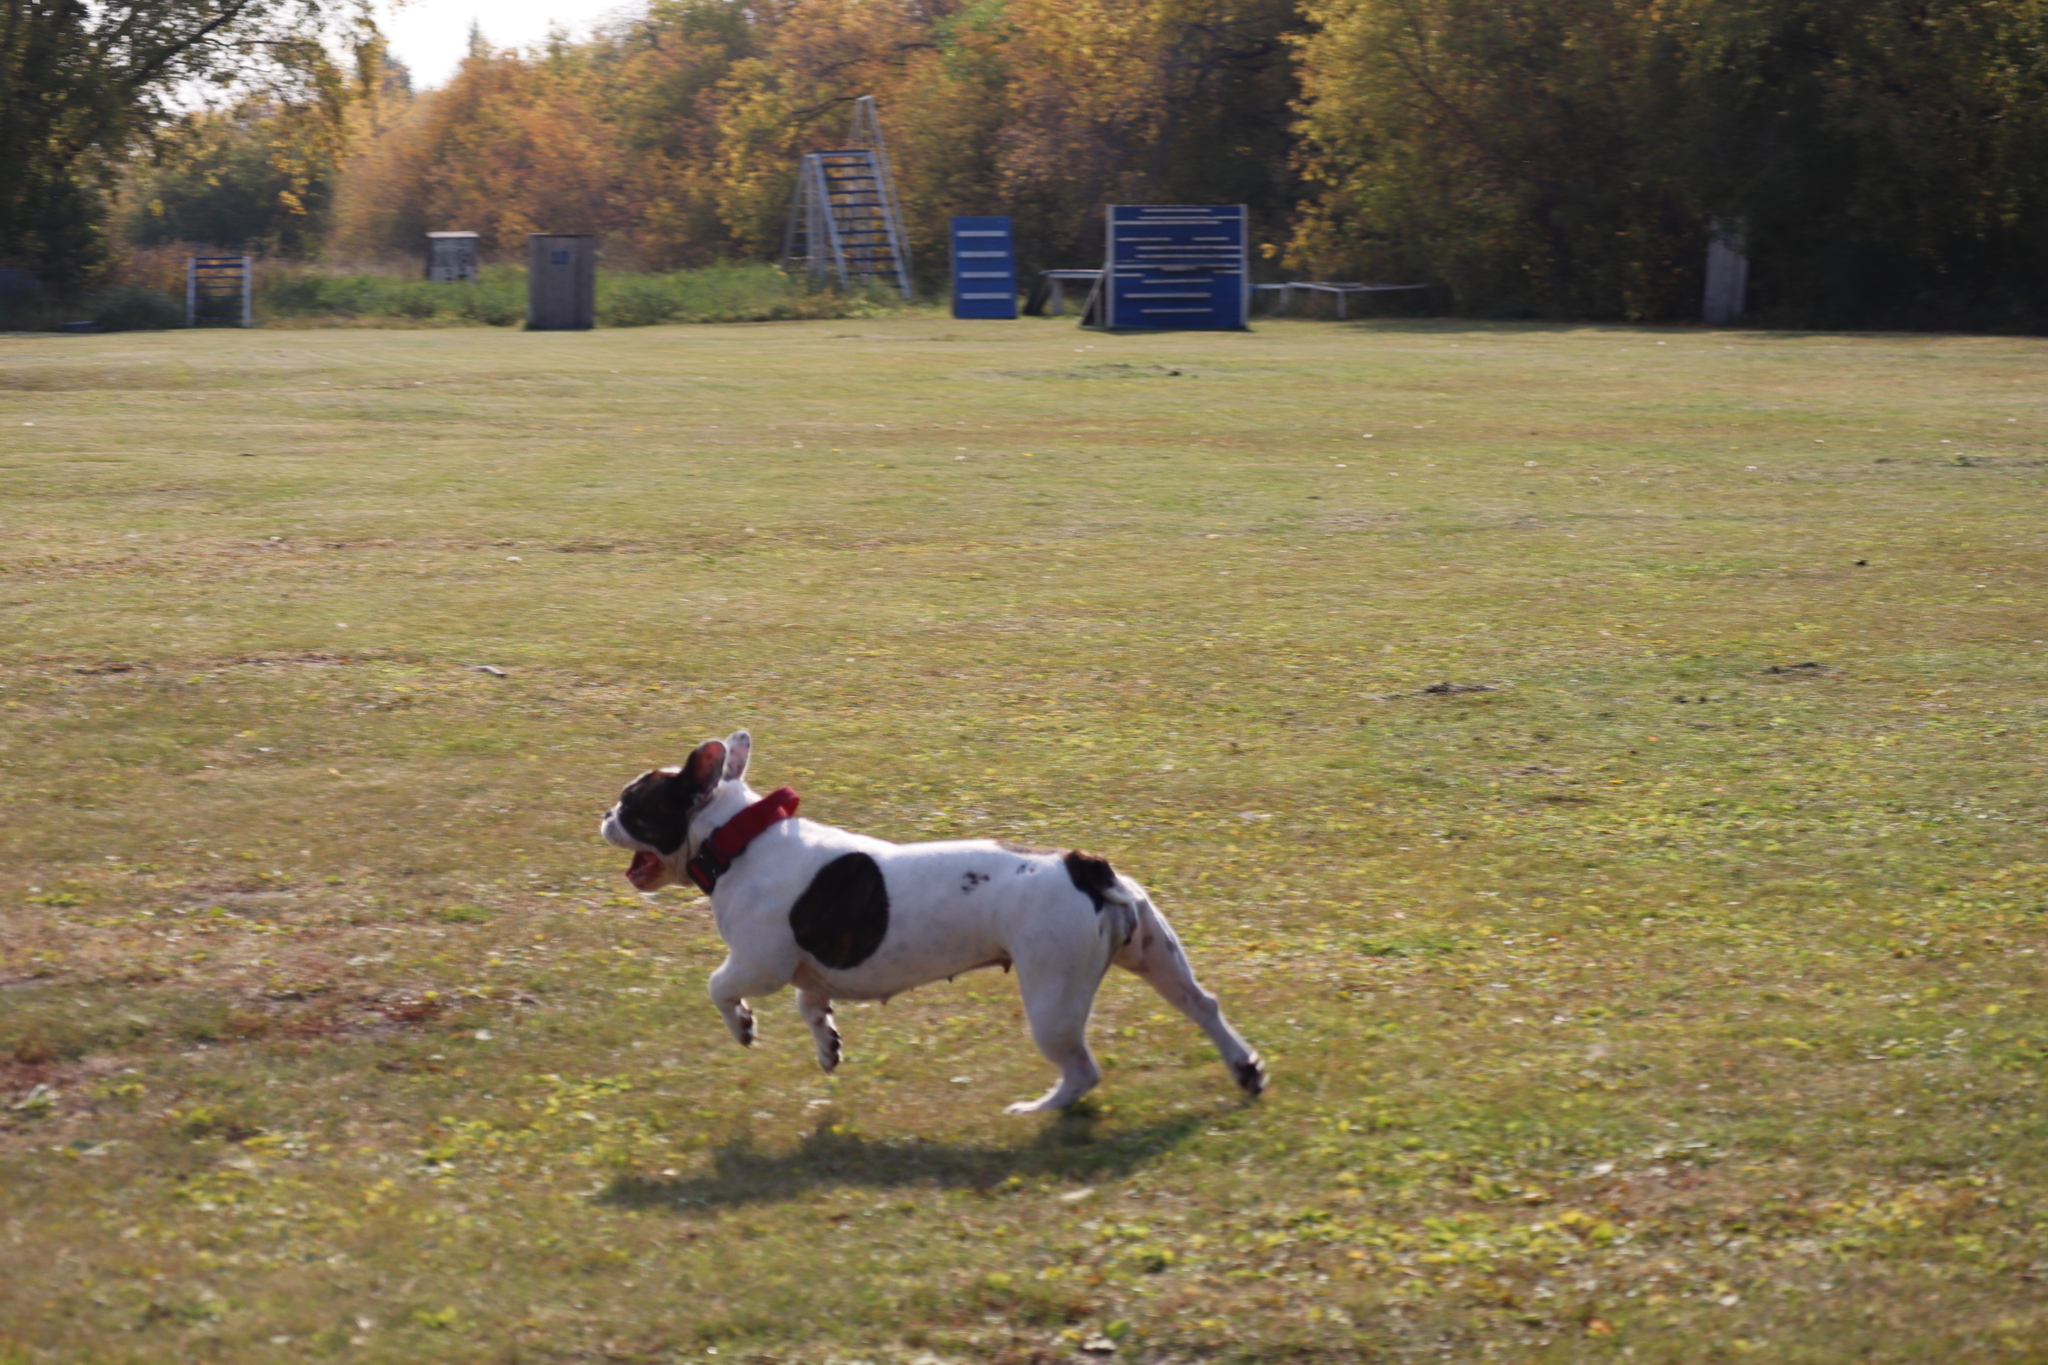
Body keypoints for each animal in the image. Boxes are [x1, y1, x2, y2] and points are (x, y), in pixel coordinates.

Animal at [598, 732, 1261, 1113]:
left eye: (632, 802)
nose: (603, 813)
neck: (737, 837)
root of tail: (1083, 866)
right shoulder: (807, 970)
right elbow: (812, 1004)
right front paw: (827, 1046)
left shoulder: (758, 964)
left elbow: (718, 985)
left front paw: (741, 1027)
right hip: (1155, 954)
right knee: (1203, 1006)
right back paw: (1245, 1069)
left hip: (1053, 994)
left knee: (1082, 1070)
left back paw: (1038, 1110)